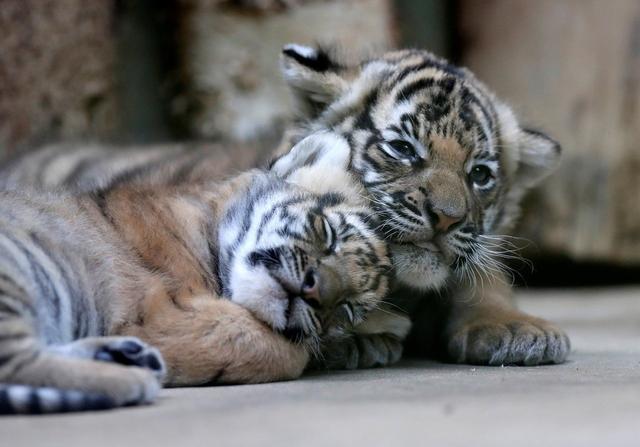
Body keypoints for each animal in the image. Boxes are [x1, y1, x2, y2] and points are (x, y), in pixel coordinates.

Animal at [269, 44, 571, 366]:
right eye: (402, 148)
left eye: (479, 174)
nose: (446, 218)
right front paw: (360, 338)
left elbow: (485, 281)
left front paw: (514, 326)